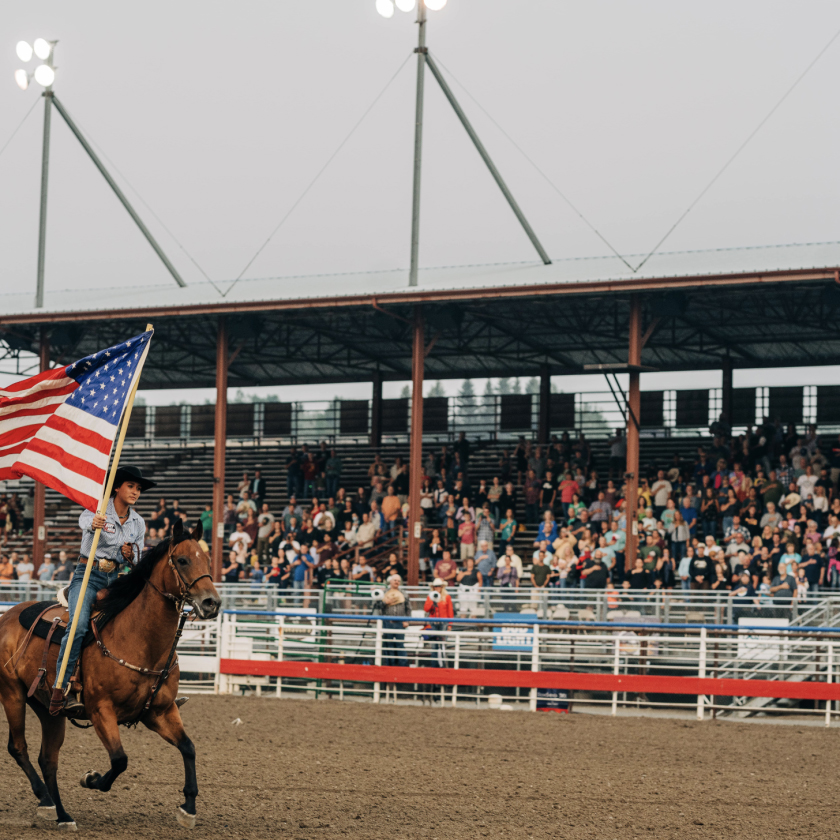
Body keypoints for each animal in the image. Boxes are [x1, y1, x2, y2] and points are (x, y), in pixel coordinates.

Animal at [0, 520, 220, 832]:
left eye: (207, 559)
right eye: (182, 560)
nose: (212, 603)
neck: (138, 638)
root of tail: (7, 617)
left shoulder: (160, 712)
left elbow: (188, 748)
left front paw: (188, 808)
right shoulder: (101, 710)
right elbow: (119, 760)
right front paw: (90, 778)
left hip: (49, 709)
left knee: (48, 759)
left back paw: (61, 813)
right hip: (12, 694)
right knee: (18, 748)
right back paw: (45, 799)